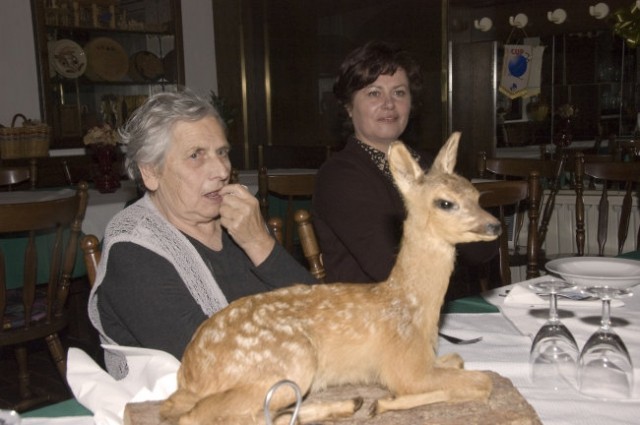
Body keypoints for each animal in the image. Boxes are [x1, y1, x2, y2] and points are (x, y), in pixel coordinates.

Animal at [161, 132, 502, 425]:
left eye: (476, 194)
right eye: (445, 202)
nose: (495, 226)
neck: (412, 307)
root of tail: (189, 374)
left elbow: (458, 358)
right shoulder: (406, 366)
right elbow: (481, 381)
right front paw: (384, 402)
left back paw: (349, 404)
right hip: (288, 362)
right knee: (207, 416)